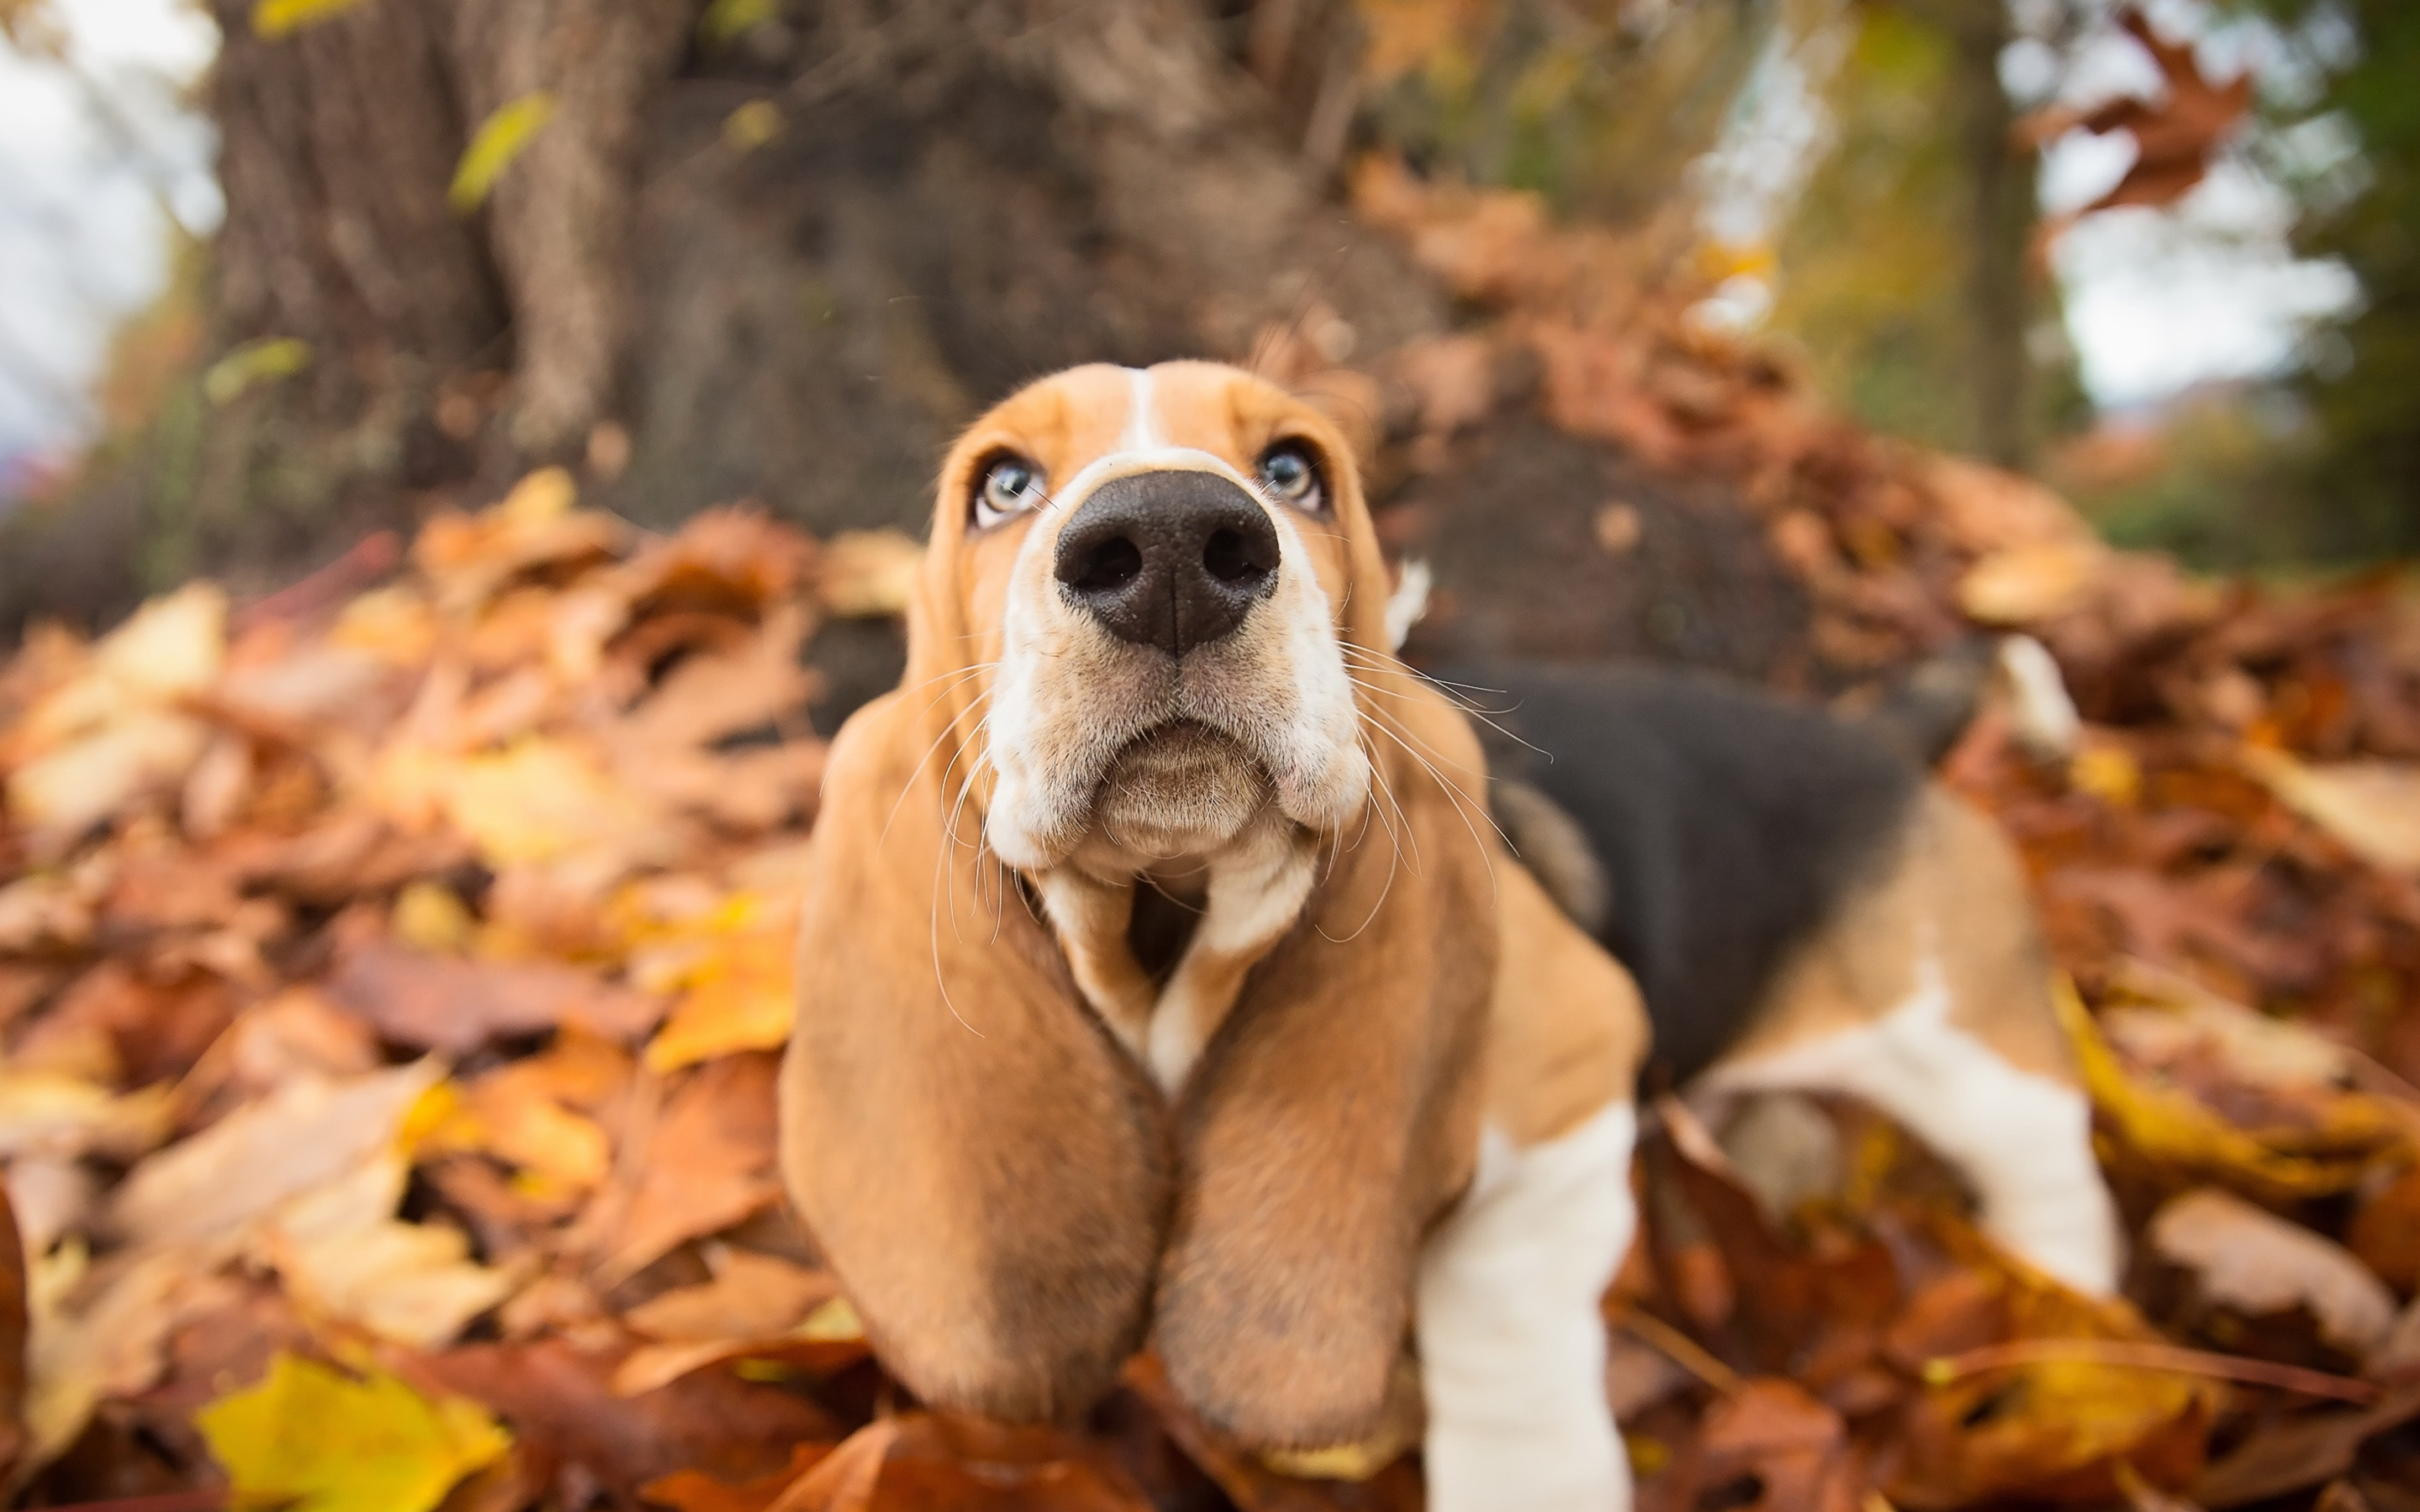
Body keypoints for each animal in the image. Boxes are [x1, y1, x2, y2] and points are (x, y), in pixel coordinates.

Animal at [784, 363, 2129, 1509]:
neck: (1172, 928)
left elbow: (1499, 1318)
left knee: (2053, 1190)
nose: (1168, 542)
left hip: (1977, 1061)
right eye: (1002, 485)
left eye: (1295, 469)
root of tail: (1881, 739)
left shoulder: (1566, 1086)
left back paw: (2070, 1339)